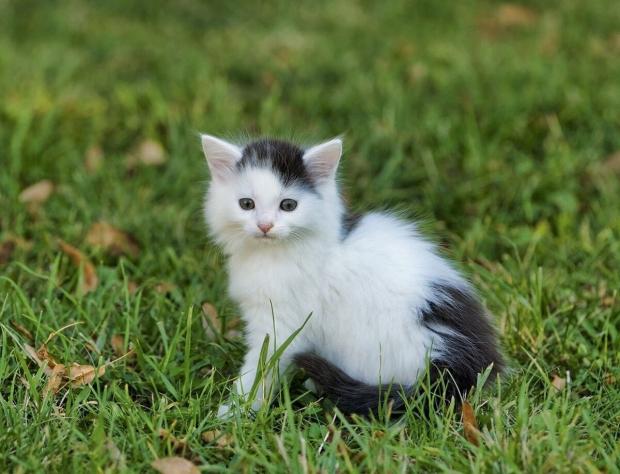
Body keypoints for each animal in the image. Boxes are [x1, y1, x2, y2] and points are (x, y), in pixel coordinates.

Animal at [203, 135, 504, 416]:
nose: (264, 225)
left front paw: (237, 409)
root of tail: (462, 364)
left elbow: (262, 364)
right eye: (246, 204)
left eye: (288, 205)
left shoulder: (282, 322)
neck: (274, 254)